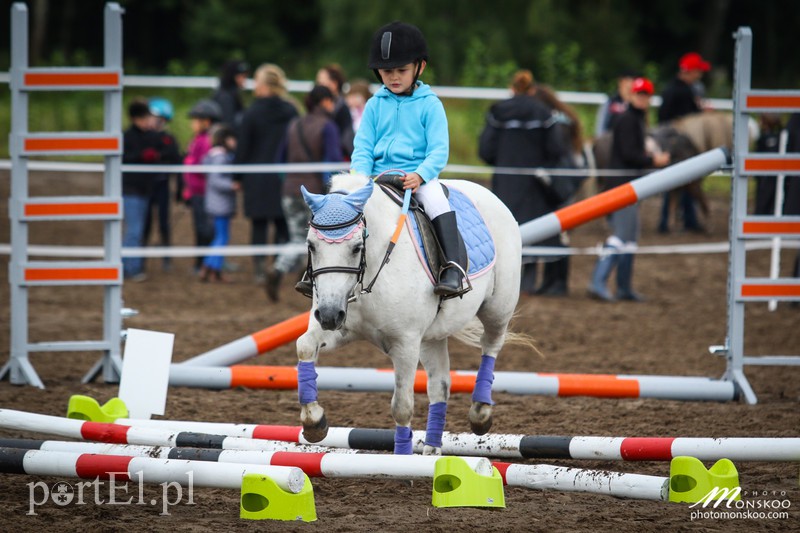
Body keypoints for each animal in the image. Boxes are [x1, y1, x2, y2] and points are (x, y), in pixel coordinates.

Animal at [296, 172, 520, 456]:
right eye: (311, 245)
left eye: (357, 247)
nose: (327, 315)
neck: (372, 270)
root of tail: (484, 191)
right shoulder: (341, 325)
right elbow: (304, 345)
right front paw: (314, 421)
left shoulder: (405, 344)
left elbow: (402, 406)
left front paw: (402, 459)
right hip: (432, 338)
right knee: (440, 386)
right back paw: (432, 451)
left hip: (497, 309)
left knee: (490, 345)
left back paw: (480, 413)